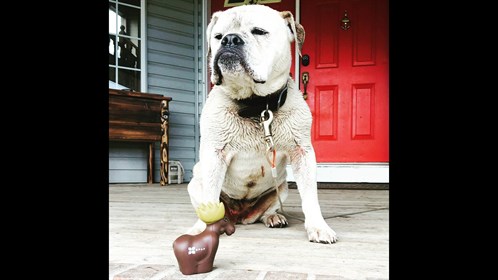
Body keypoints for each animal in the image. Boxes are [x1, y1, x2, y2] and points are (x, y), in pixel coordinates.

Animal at [188, 3, 338, 243]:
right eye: (217, 36)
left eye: (259, 31)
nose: (229, 40)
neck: (256, 104)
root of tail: (241, 216)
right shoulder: (214, 155)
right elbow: (210, 195)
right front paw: (201, 230)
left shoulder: (302, 154)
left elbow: (310, 197)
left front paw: (318, 226)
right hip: (195, 183)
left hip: (282, 187)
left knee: (266, 211)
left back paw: (273, 217)